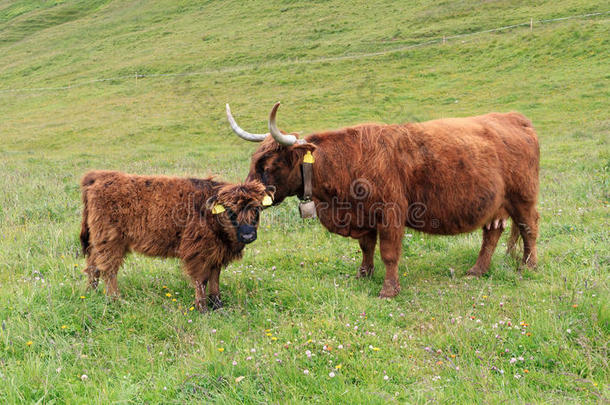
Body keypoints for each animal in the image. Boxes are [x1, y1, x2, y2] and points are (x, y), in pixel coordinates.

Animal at [80, 169, 274, 310]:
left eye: (257, 209)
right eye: (231, 212)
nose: (248, 235)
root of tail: (99, 175)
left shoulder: (216, 253)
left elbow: (215, 277)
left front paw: (217, 304)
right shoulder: (198, 252)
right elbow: (201, 280)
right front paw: (202, 308)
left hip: (98, 241)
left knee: (92, 266)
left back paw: (90, 293)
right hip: (110, 241)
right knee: (108, 269)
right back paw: (115, 299)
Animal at [224, 102, 536, 298]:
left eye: (269, 164)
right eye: (254, 159)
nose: (246, 195)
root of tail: (512, 117)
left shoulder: (390, 214)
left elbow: (388, 253)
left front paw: (388, 290)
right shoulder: (363, 216)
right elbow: (366, 247)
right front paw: (363, 273)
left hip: (523, 197)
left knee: (529, 228)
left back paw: (528, 266)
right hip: (495, 205)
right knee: (492, 234)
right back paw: (477, 270)